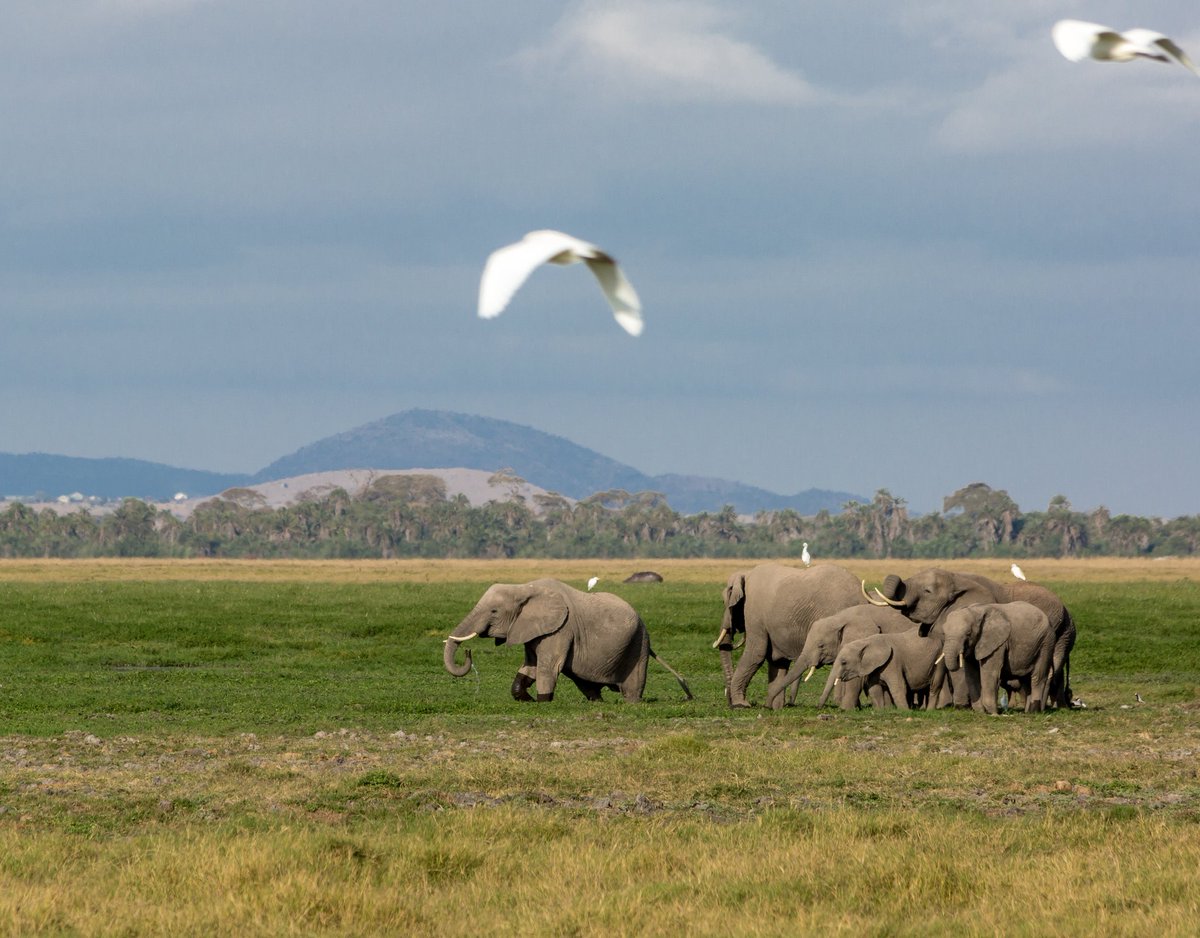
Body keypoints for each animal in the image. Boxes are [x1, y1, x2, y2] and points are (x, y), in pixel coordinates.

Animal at [443, 578, 692, 703]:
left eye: (494, 611)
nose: (468, 653)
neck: (524, 587)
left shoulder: (561, 629)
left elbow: (548, 667)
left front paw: (543, 701)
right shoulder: (535, 629)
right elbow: (530, 666)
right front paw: (525, 699)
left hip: (639, 643)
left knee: (631, 687)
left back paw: (632, 702)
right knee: (582, 679)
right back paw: (596, 701)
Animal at [713, 563, 868, 708]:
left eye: (725, 602)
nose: (729, 703)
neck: (746, 573)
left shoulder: (754, 611)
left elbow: (756, 653)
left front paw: (740, 705)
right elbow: (778, 660)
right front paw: (774, 707)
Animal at [864, 567, 1075, 708]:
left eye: (927, 591)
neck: (955, 578)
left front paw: (960, 706)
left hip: (1054, 630)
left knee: (1050, 668)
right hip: (1062, 634)